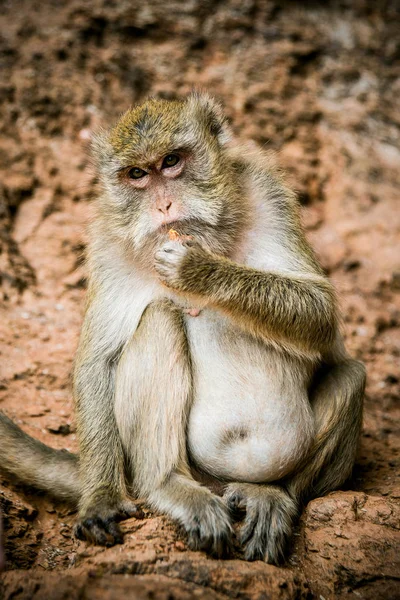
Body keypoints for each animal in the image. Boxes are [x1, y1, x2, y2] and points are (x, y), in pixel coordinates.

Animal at [0, 92, 366, 564]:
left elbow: (320, 312)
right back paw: (169, 485)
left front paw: (200, 270)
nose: (164, 206)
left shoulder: (267, 192)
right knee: (159, 318)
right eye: (137, 174)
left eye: (171, 161)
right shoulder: (107, 241)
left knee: (351, 375)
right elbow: (98, 362)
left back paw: (270, 493)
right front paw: (101, 497)